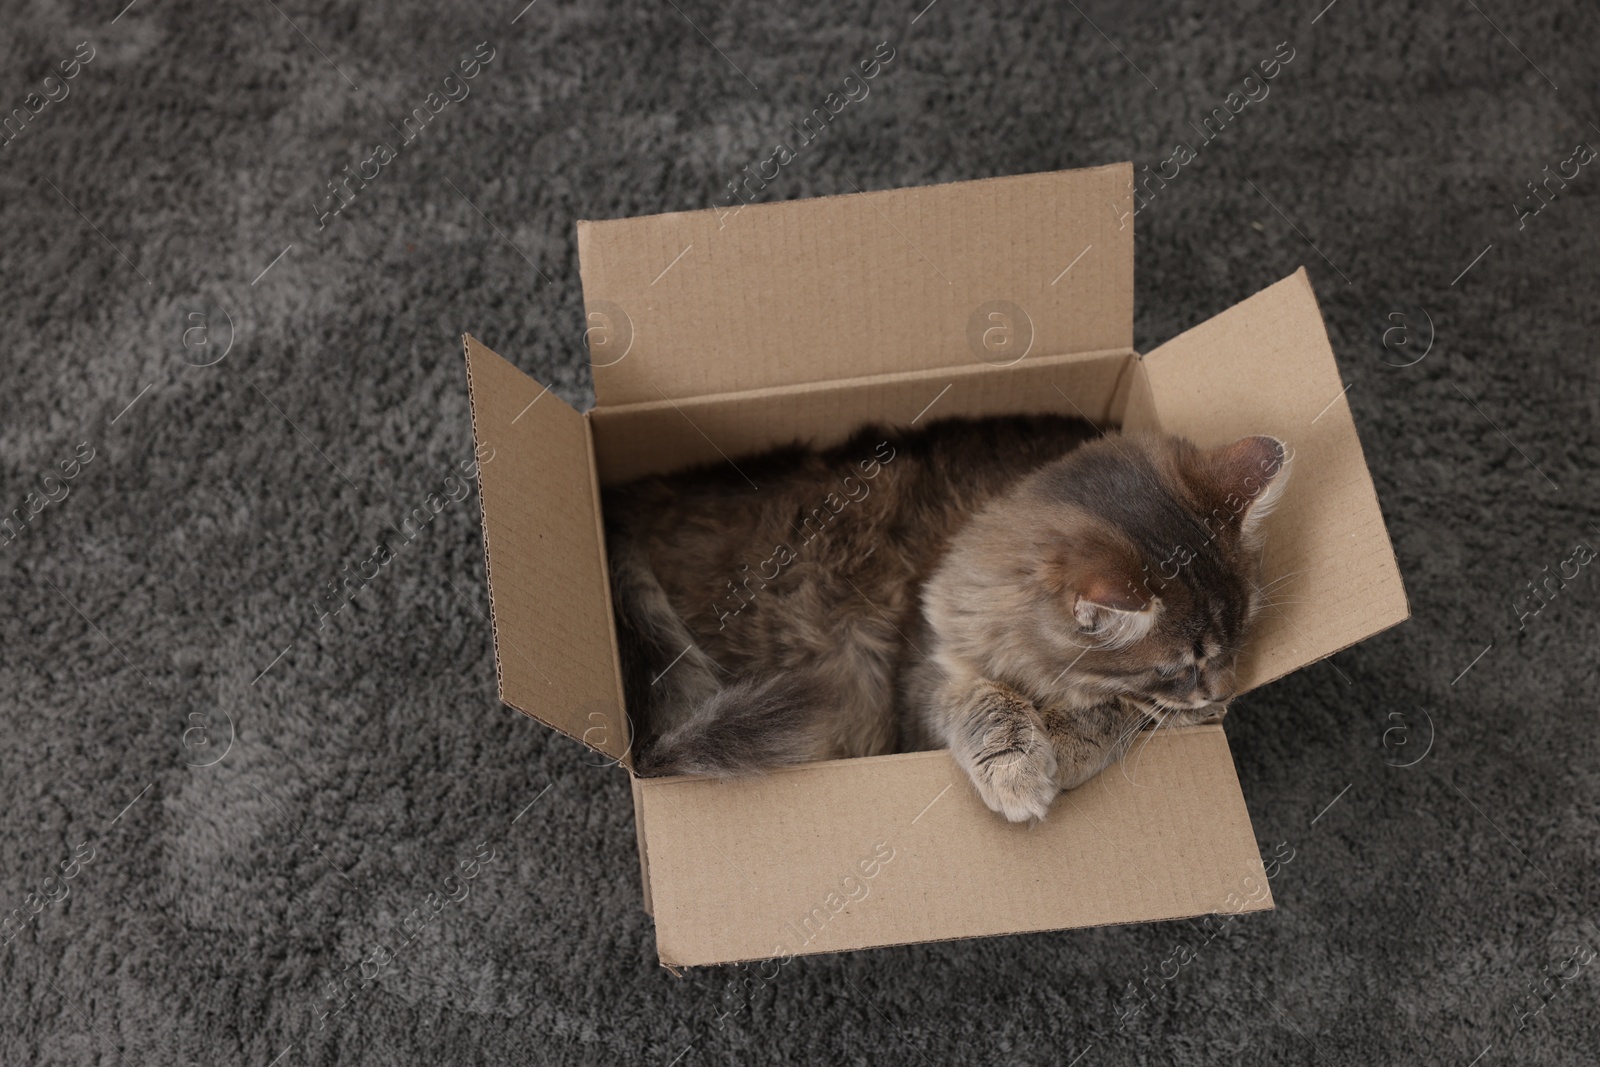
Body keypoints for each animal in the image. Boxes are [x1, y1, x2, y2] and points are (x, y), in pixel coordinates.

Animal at [601, 412, 1286, 825]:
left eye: (1239, 638)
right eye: (1179, 665)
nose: (1226, 691)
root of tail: (629, 506)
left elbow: (1114, 712)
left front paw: (1065, 742)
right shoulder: (922, 678)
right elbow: (986, 702)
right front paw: (1021, 766)